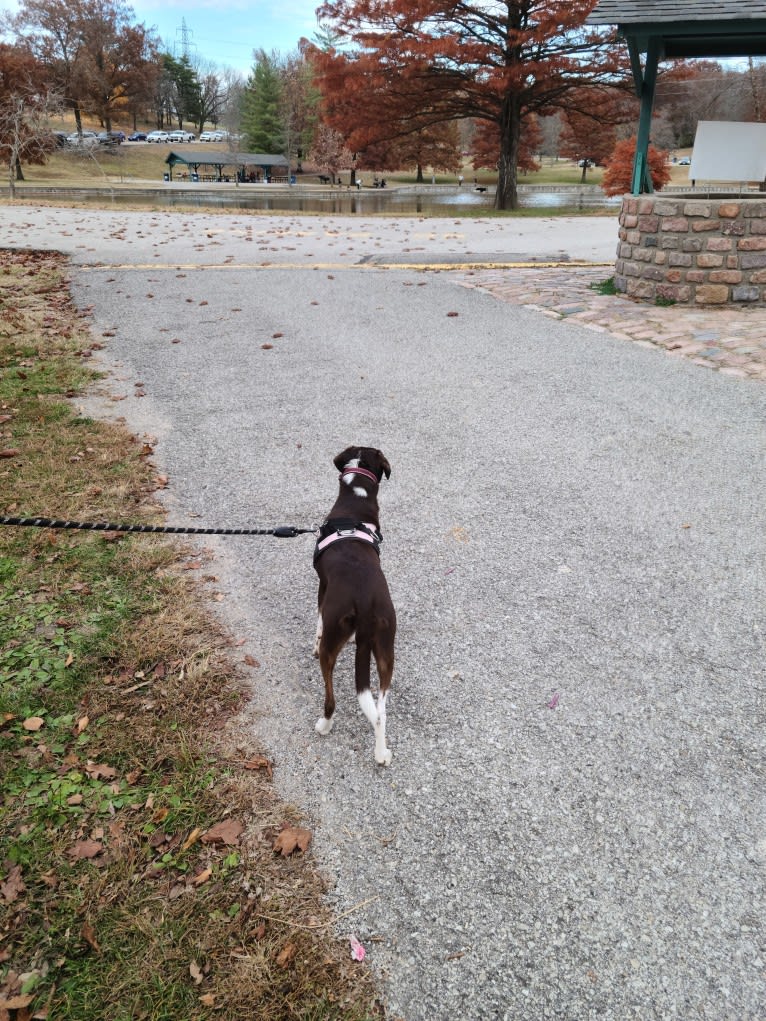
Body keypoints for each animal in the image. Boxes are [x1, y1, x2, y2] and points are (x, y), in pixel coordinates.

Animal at [312, 447, 396, 767]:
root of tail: (365, 602)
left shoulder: (322, 588)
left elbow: (317, 621)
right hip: (385, 650)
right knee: (380, 712)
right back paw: (381, 753)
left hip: (334, 641)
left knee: (331, 698)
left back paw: (324, 725)